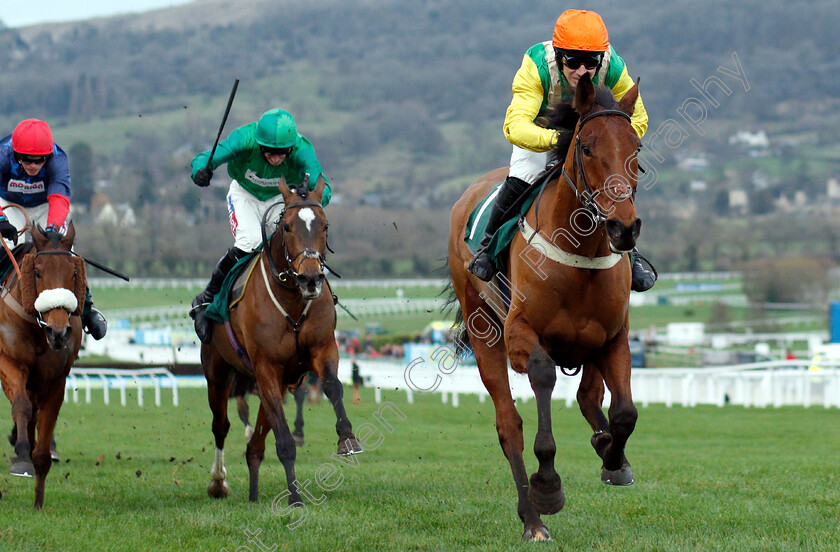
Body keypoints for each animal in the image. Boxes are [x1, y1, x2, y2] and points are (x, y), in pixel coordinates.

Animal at [0, 222, 86, 506]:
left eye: (73, 272)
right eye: (37, 272)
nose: (58, 332)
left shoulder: (56, 379)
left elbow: (44, 427)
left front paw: (38, 501)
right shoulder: (9, 362)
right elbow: (22, 407)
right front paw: (21, 458)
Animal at [204, 176, 364, 504]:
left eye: (325, 225)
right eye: (288, 227)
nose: (311, 278)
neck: (292, 300)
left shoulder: (322, 349)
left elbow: (333, 387)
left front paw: (347, 438)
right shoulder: (266, 367)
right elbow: (284, 441)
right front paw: (295, 497)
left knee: (255, 444)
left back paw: (253, 496)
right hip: (218, 373)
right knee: (221, 426)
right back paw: (218, 482)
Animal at [450, 73, 640, 540]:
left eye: (637, 148)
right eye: (586, 147)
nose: (624, 228)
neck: (580, 252)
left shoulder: (613, 337)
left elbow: (625, 412)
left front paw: (614, 459)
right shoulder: (521, 336)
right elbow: (542, 380)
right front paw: (548, 485)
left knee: (589, 396)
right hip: (484, 334)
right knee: (509, 426)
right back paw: (532, 519)